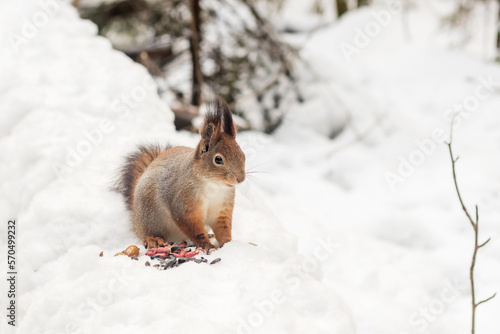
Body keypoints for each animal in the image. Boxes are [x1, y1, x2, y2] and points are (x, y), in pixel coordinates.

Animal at [117, 98, 246, 249]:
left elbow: (223, 228)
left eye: (243, 155)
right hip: (149, 214)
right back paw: (153, 239)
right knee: (147, 232)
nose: (240, 179)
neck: (213, 186)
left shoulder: (222, 208)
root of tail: (135, 219)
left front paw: (228, 244)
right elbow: (192, 228)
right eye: (218, 159)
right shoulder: (183, 206)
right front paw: (206, 244)